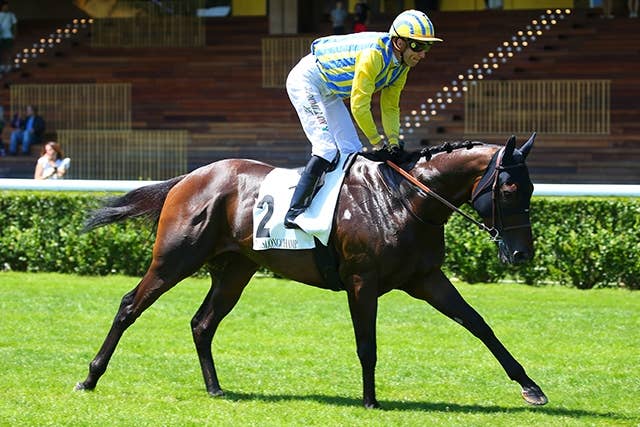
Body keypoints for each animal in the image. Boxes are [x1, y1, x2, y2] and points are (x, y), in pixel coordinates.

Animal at [75, 133, 548, 409]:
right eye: (510, 187)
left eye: (531, 187)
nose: (522, 254)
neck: (401, 199)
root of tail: (189, 177)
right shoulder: (362, 281)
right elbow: (366, 344)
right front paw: (370, 401)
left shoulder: (426, 278)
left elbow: (479, 325)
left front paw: (530, 387)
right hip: (174, 259)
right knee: (129, 306)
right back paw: (90, 377)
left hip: (236, 269)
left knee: (202, 323)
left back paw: (215, 388)